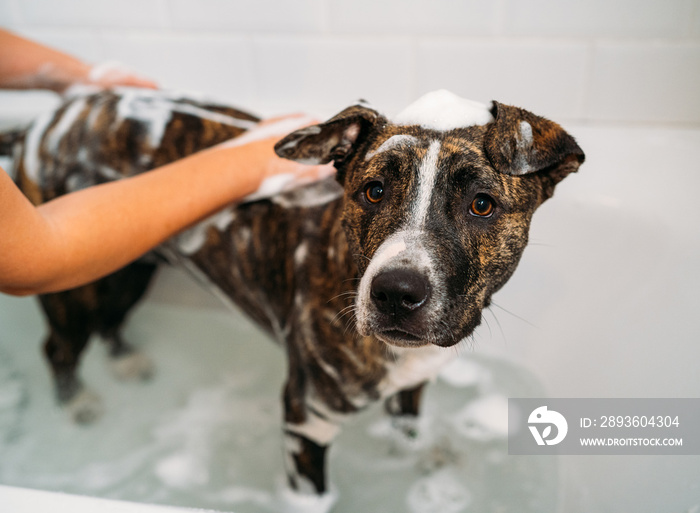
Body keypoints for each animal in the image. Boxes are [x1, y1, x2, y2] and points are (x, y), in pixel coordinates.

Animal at [5, 87, 584, 500]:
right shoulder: (305, 424)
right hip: (73, 283)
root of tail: (51, 118)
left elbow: (409, 432)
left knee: (112, 318)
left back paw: (124, 360)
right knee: (58, 347)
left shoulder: (412, 386)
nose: (396, 292)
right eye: (372, 191)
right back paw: (78, 400)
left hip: (131, 265)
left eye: (482, 204)